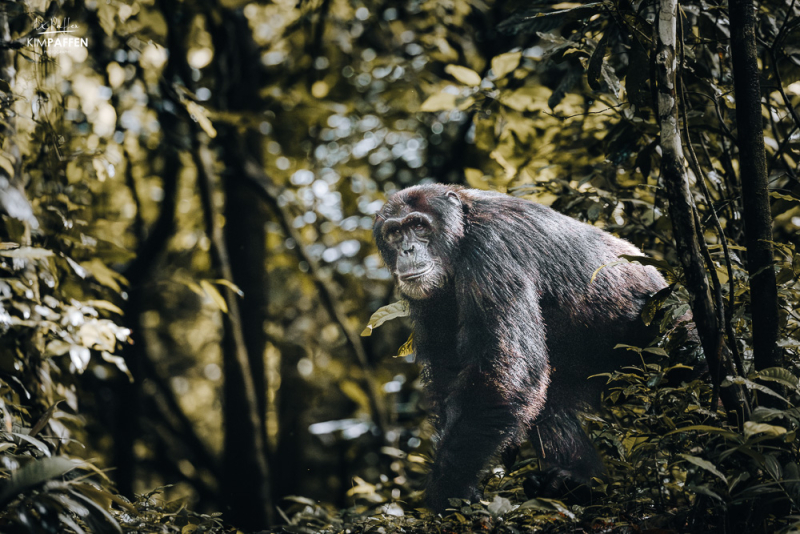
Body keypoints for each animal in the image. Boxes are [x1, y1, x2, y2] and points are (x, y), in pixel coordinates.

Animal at [376, 185, 668, 516]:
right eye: (395, 232)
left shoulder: (492, 253)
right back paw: (577, 482)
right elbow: (450, 373)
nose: (407, 249)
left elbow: (503, 375)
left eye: (419, 225)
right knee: (550, 403)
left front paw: (448, 490)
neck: (460, 238)